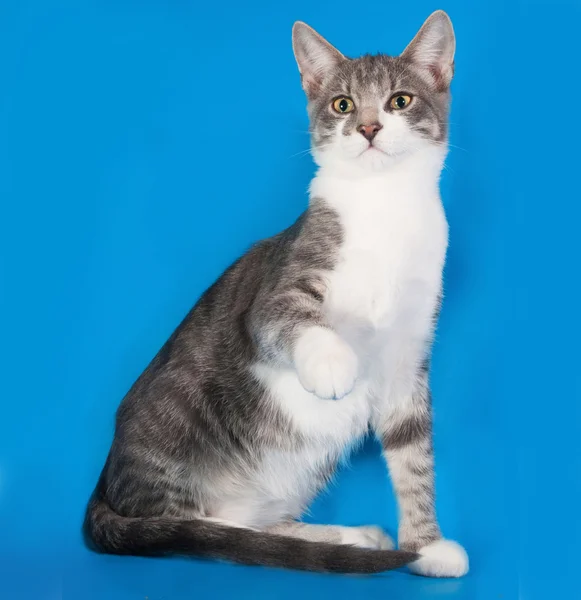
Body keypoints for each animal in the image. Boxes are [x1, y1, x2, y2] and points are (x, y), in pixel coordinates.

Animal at [85, 10, 466, 576]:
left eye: (400, 100)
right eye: (342, 104)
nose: (369, 127)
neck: (385, 209)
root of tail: (108, 481)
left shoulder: (408, 355)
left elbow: (413, 453)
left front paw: (425, 546)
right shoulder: (280, 283)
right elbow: (288, 315)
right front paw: (332, 364)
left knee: (253, 526)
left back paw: (347, 539)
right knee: (202, 531)